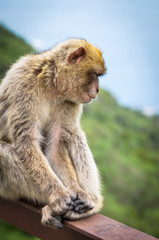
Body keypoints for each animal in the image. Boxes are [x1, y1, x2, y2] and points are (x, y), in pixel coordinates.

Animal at [0, 38, 107, 230]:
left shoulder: (70, 101)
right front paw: (58, 195)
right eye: (95, 75)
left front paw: (76, 190)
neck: (52, 84)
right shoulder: (24, 82)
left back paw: (92, 201)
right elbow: (26, 141)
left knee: (73, 133)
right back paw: (51, 207)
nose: (97, 90)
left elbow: (56, 146)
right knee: (2, 152)